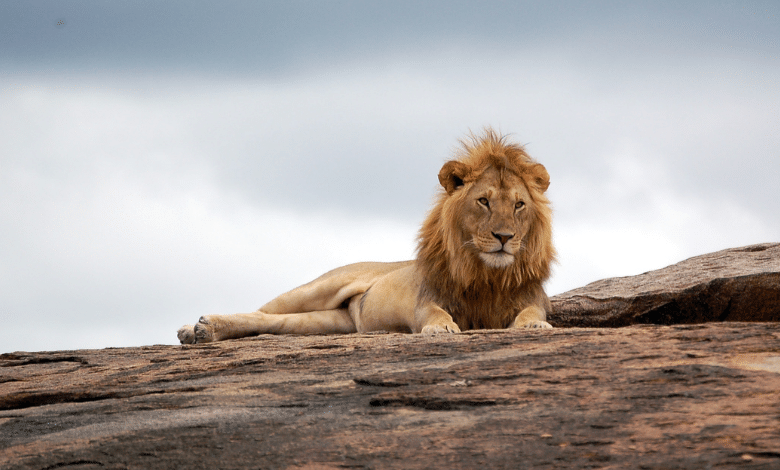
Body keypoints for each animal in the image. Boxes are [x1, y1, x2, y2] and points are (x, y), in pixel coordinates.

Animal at [178, 129, 556, 346]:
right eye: (483, 201)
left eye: (519, 204)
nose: (504, 237)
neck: (487, 274)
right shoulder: (425, 301)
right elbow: (434, 314)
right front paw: (442, 329)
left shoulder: (531, 298)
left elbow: (531, 313)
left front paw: (535, 327)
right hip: (317, 287)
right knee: (261, 311)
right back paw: (196, 329)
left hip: (333, 323)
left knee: (275, 323)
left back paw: (202, 332)